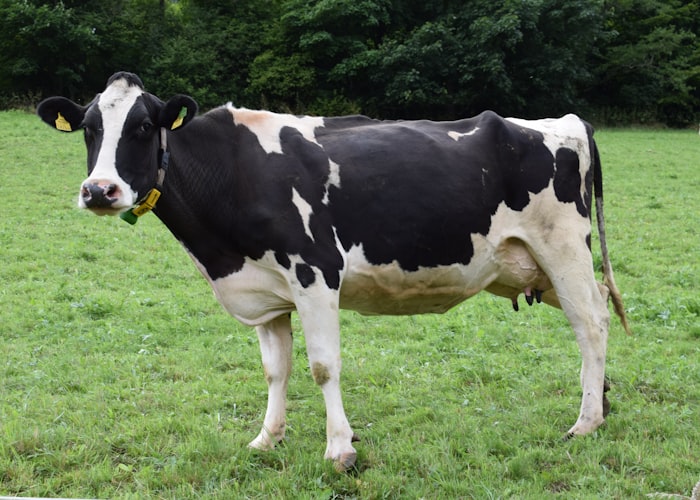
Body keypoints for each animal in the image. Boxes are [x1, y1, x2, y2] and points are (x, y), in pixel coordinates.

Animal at [37, 72, 630, 472]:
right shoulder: (266, 293)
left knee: (591, 323)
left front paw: (340, 449)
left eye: (142, 126)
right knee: (598, 312)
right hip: (536, 267)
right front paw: (267, 438)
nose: (99, 191)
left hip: (563, 249)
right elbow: (275, 370)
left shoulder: (315, 273)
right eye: (88, 128)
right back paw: (601, 402)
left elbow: (323, 366)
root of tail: (565, 121)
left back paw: (585, 422)